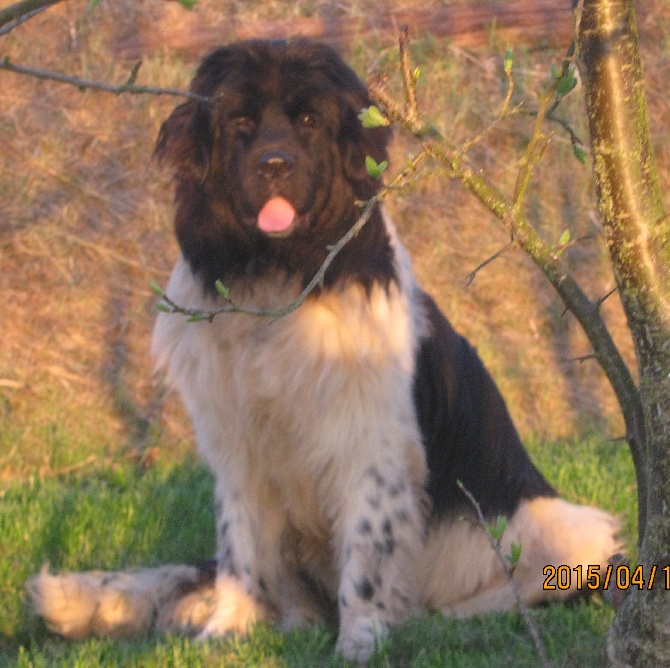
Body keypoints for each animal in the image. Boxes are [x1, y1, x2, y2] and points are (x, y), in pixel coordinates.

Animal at [28, 39, 624, 660]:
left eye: (310, 122)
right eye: (240, 123)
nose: (274, 165)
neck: (278, 280)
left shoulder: (370, 445)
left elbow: (366, 551)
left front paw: (362, 643)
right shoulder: (236, 445)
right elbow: (238, 547)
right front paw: (227, 631)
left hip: (570, 532)